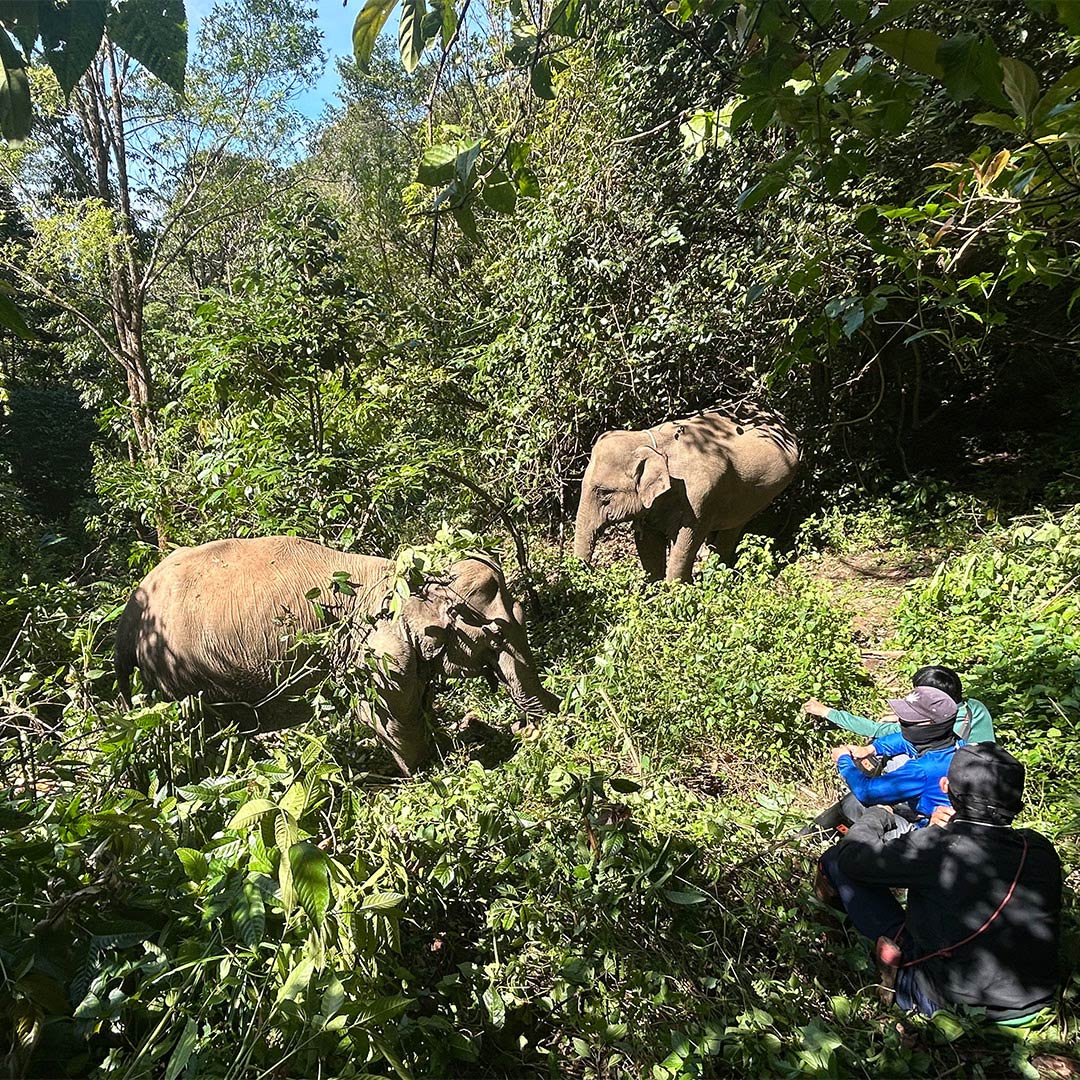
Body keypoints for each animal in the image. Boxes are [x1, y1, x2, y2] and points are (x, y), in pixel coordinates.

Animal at [115, 536, 558, 774]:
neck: (403, 578)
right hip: (176, 674)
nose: (528, 729)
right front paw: (431, 771)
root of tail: (129, 614)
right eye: (496, 632)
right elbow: (389, 717)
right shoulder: (379, 653)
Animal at [574, 407, 801, 582]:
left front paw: (672, 594)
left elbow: (686, 542)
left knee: (733, 528)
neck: (650, 442)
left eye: (604, 492)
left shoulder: (699, 498)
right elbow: (648, 544)